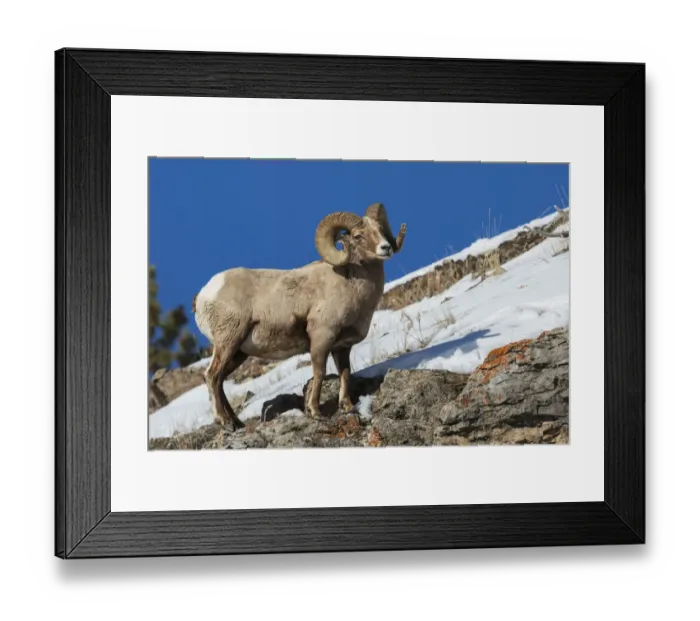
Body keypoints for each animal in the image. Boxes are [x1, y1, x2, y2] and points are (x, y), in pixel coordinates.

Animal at [193, 203, 407, 429]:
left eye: (380, 230)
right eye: (358, 236)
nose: (386, 248)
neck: (351, 284)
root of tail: (203, 295)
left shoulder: (342, 347)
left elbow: (345, 374)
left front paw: (347, 406)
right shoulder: (321, 338)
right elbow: (319, 373)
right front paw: (315, 412)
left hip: (238, 353)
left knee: (220, 380)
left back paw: (237, 423)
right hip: (227, 342)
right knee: (212, 376)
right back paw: (224, 421)